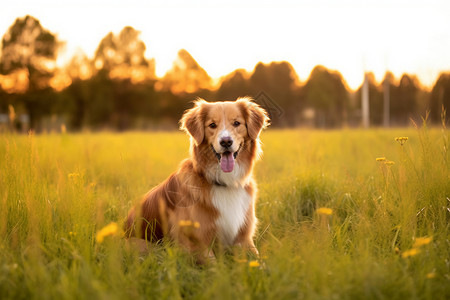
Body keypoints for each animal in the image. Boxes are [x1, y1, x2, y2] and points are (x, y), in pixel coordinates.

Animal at [124, 97, 268, 262]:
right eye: (212, 125)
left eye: (237, 123)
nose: (226, 142)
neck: (224, 182)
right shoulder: (195, 242)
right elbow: (213, 265)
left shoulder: (244, 238)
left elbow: (260, 262)